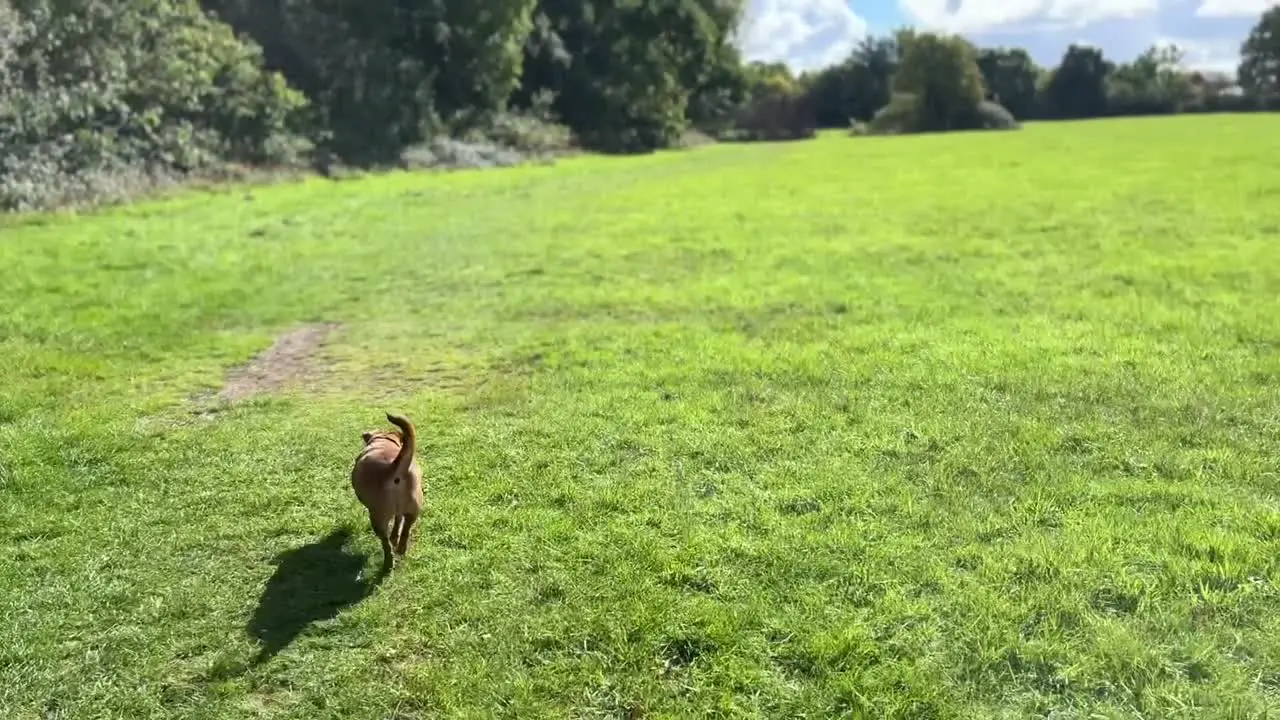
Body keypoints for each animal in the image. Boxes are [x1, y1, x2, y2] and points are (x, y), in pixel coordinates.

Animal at [350, 412, 424, 568]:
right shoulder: (400, 511)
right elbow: (398, 521)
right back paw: (401, 548)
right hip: (414, 510)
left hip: (377, 519)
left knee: (386, 544)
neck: (383, 440)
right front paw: (395, 536)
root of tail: (393, 468)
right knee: (406, 530)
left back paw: (388, 564)